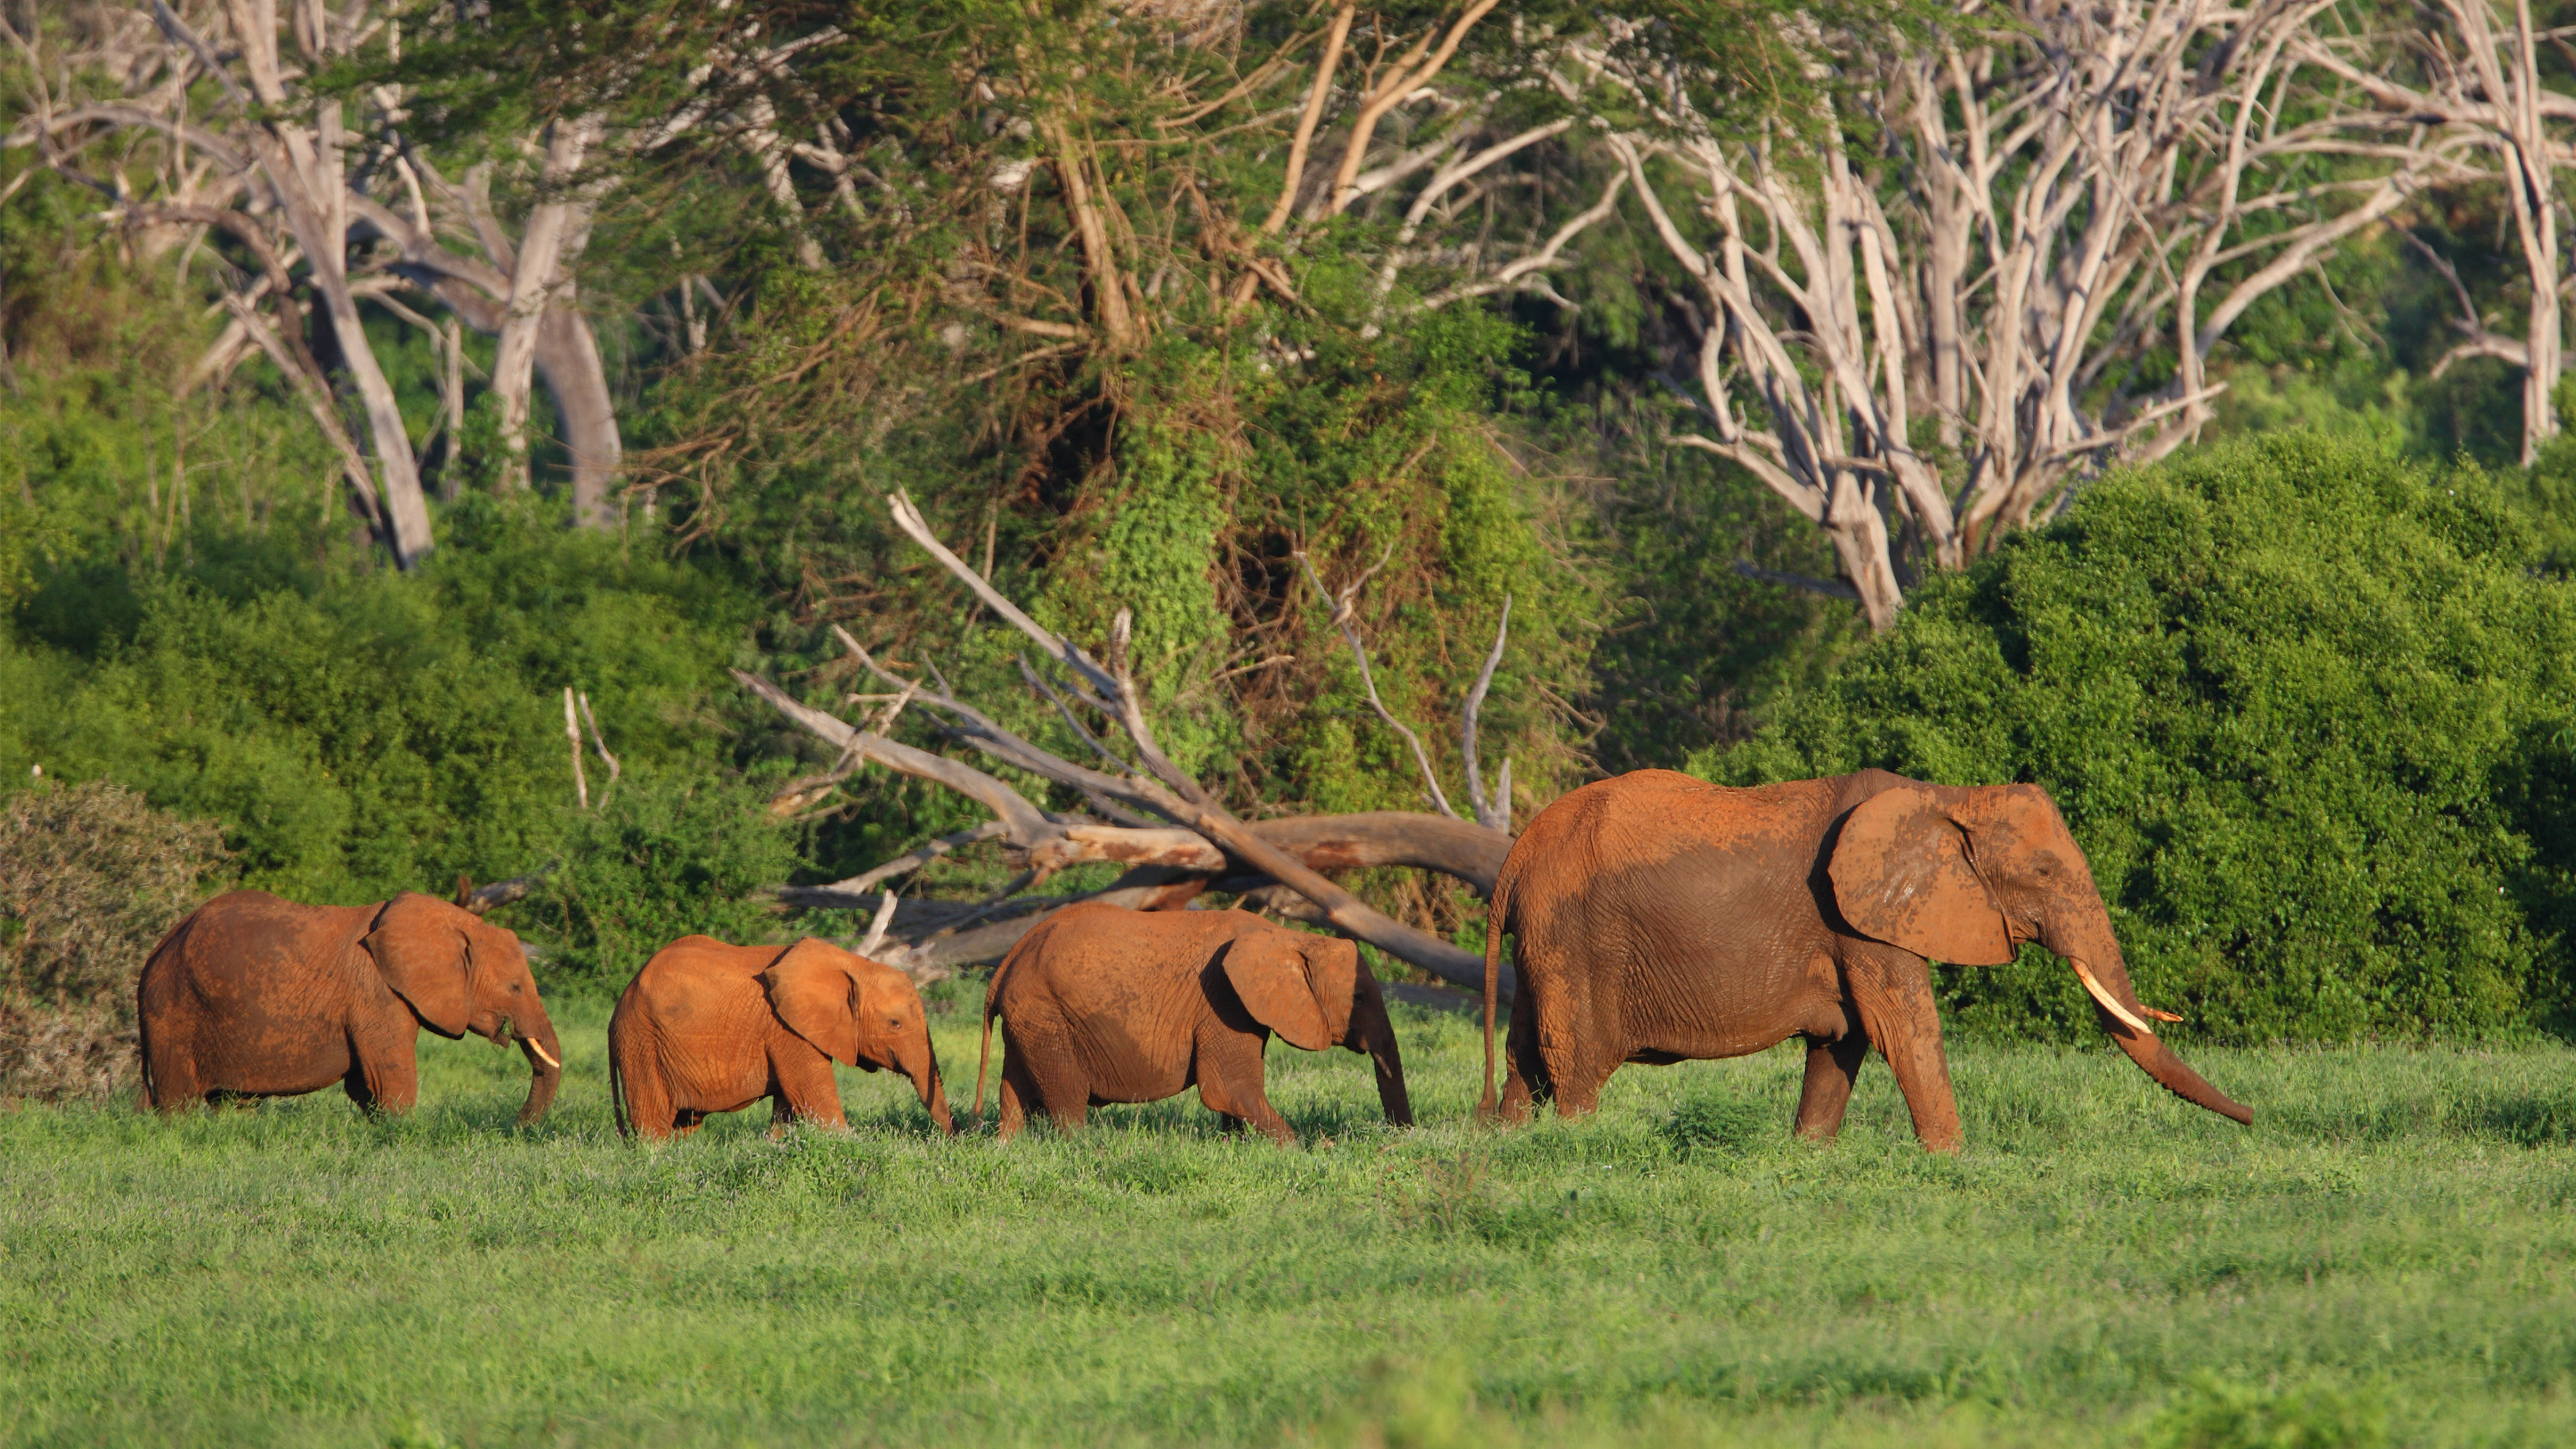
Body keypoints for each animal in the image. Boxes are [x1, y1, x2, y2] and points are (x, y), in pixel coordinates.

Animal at [141, 881, 564, 1119]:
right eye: (515, 987)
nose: (517, 1124)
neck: (455, 922)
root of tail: (158, 948)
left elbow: (364, 1085)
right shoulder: (376, 993)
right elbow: (388, 1077)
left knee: (230, 1103)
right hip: (173, 1012)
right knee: (177, 1103)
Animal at [605, 928, 958, 1134]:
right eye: (895, 1024)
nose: (952, 1138)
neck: (851, 964)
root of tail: (620, 1001)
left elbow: (788, 1110)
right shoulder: (786, 1029)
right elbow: (817, 1103)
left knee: (686, 1123)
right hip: (641, 1043)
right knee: (654, 1124)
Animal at [968, 902, 1411, 1139]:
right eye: (1358, 998)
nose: (1401, 1135)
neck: (1286, 938)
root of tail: (1010, 958)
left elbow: (1232, 1093)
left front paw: (1236, 1145)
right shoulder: (1223, 1000)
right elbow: (1228, 1088)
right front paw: (1308, 1149)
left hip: (1030, 1017)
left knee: (1016, 1096)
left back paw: (1008, 1147)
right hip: (1046, 1013)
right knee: (1068, 1102)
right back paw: (1083, 1147)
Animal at [1483, 763, 2246, 1144]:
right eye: (2044, 874)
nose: (2252, 1121)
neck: (1948, 797)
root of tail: (1515, 859)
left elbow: (1842, 1042)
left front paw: (1807, 1156)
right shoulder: (1861, 923)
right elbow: (1904, 1029)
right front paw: (1953, 1161)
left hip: (1543, 944)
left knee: (1526, 1062)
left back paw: (1507, 1145)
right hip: (1575, 941)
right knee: (1575, 1072)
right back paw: (1576, 1148)